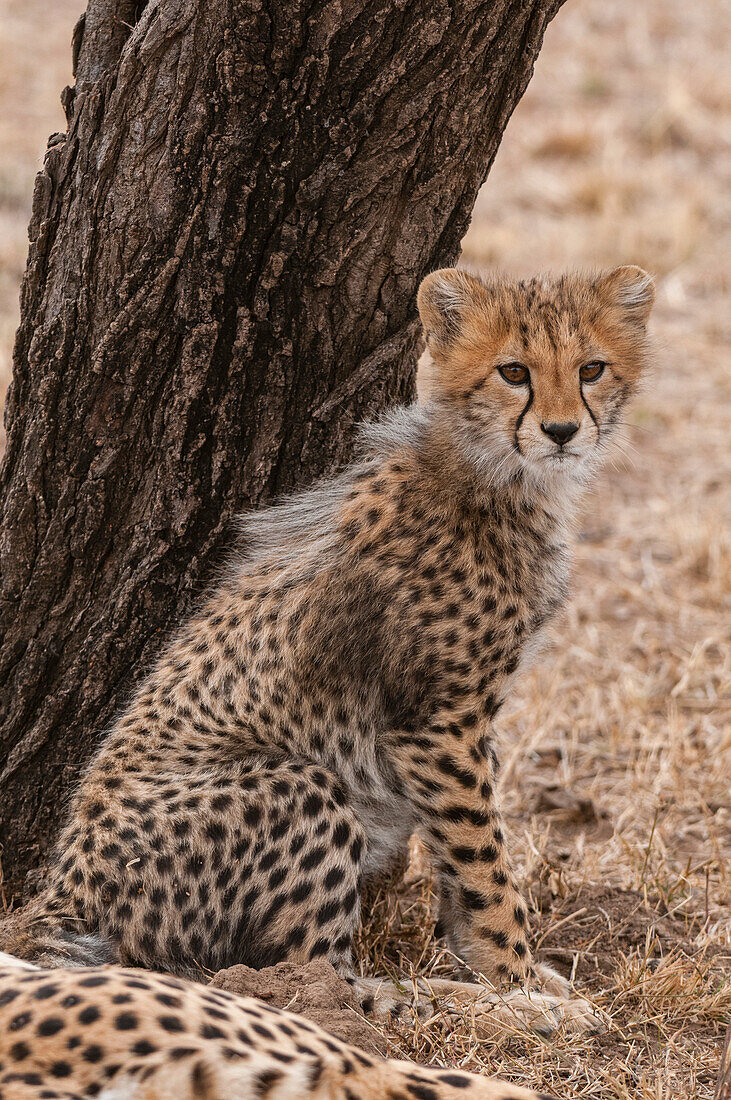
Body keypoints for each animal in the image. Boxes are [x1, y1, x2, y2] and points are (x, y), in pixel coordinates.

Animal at [0, 264, 650, 1029]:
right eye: (513, 372)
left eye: (591, 369)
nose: (561, 431)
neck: (492, 471)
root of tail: (56, 897)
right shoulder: (437, 722)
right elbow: (483, 861)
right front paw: (514, 982)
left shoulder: (462, 725)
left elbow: (460, 859)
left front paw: (500, 967)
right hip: (298, 783)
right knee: (320, 983)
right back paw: (487, 1009)